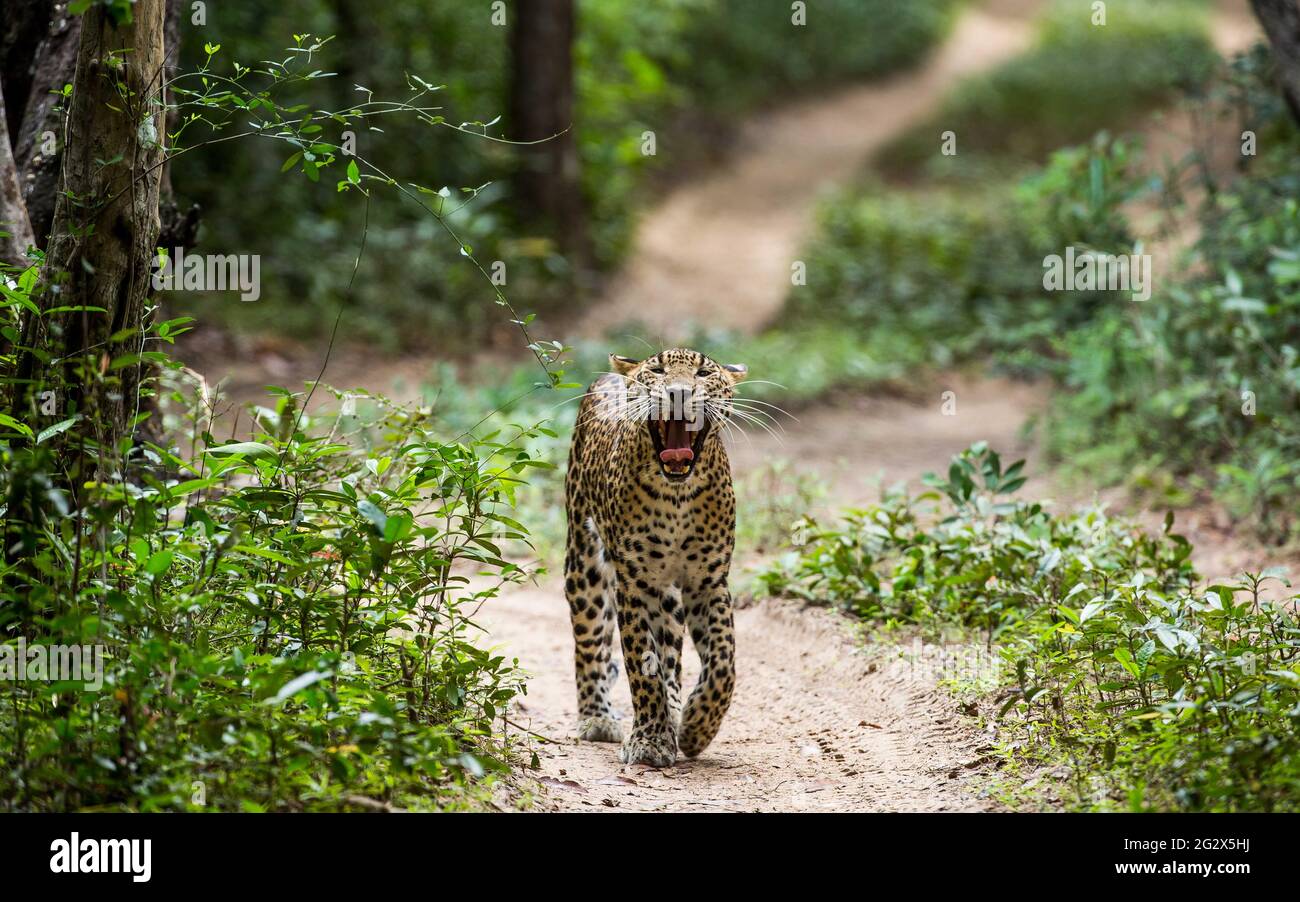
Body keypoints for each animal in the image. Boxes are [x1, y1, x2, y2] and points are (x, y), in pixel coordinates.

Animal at [563, 347, 748, 767]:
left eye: (703, 373)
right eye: (658, 370)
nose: (679, 393)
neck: (676, 496)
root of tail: (610, 376)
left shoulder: (708, 581)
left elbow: (723, 662)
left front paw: (696, 726)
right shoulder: (636, 584)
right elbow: (641, 666)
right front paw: (649, 741)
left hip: (669, 597)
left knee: (672, 656)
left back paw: (677, 712)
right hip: (584, 564)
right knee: (590, 641)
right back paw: (597, 718)